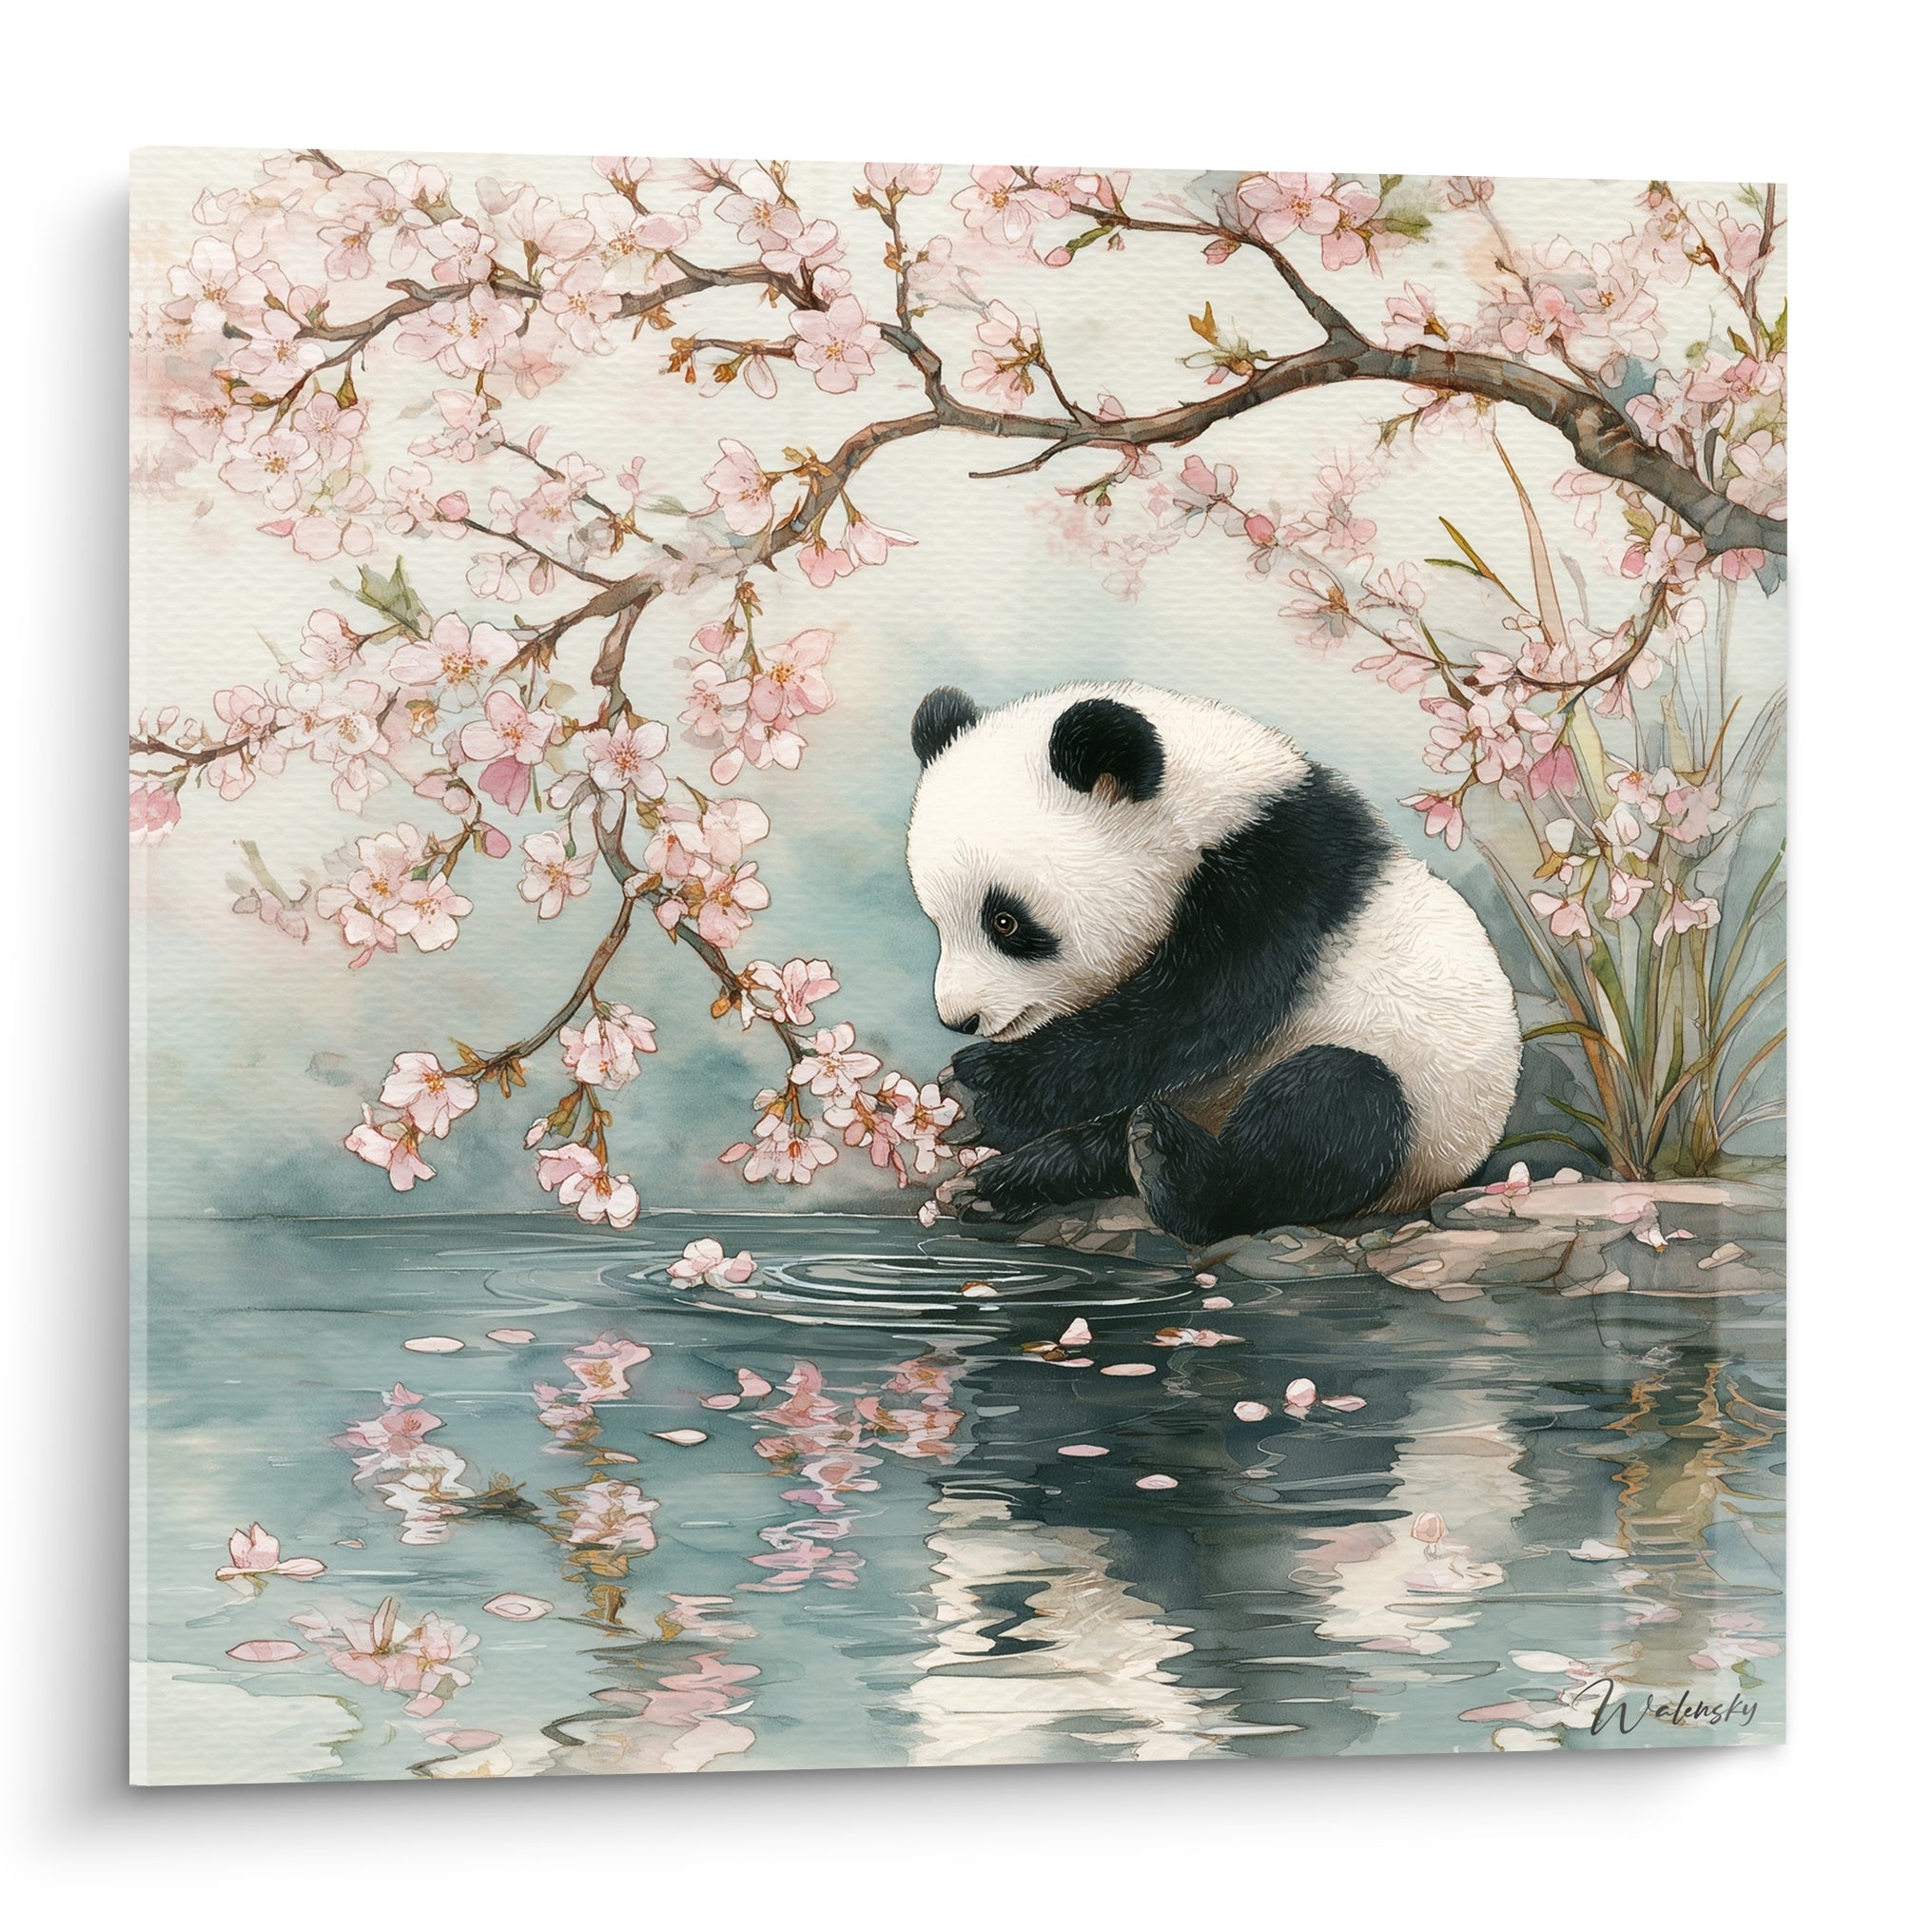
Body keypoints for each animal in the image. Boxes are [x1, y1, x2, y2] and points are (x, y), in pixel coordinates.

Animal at [905, 680, 1522, 1246]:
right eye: (935, 918)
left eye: (1005, 922)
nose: (958, 1019)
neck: (1211, 809)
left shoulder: (1279, 878)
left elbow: (1196, 1011)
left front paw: (981, 1091)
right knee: (1113, 1142)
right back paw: (1008, 1184)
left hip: (1424, 1110)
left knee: (1332, 1113)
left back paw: (1177, 1175)